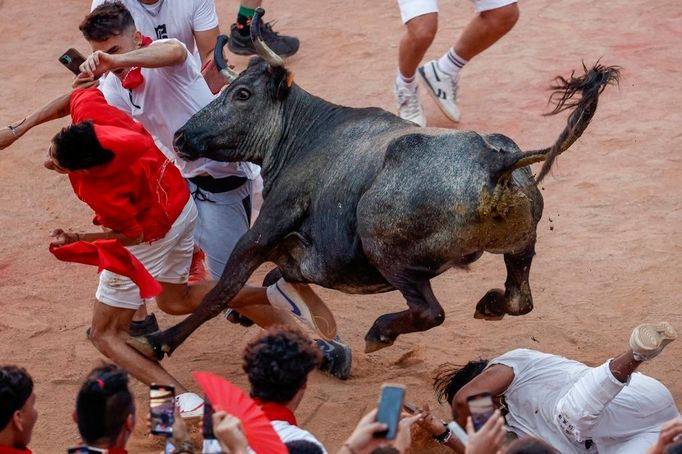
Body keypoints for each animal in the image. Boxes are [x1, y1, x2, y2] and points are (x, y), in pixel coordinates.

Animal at [133, 9, 616, 362]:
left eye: (242, 95)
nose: (180, 137)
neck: (304, 132)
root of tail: (494, 161)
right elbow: (277, 277)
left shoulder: (264, 229)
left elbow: (221, 292)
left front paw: (163, 341)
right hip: (520, 245)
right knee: (519, 300)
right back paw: (488, 305)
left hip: (384, 247)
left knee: (430, 311)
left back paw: (380, 331)